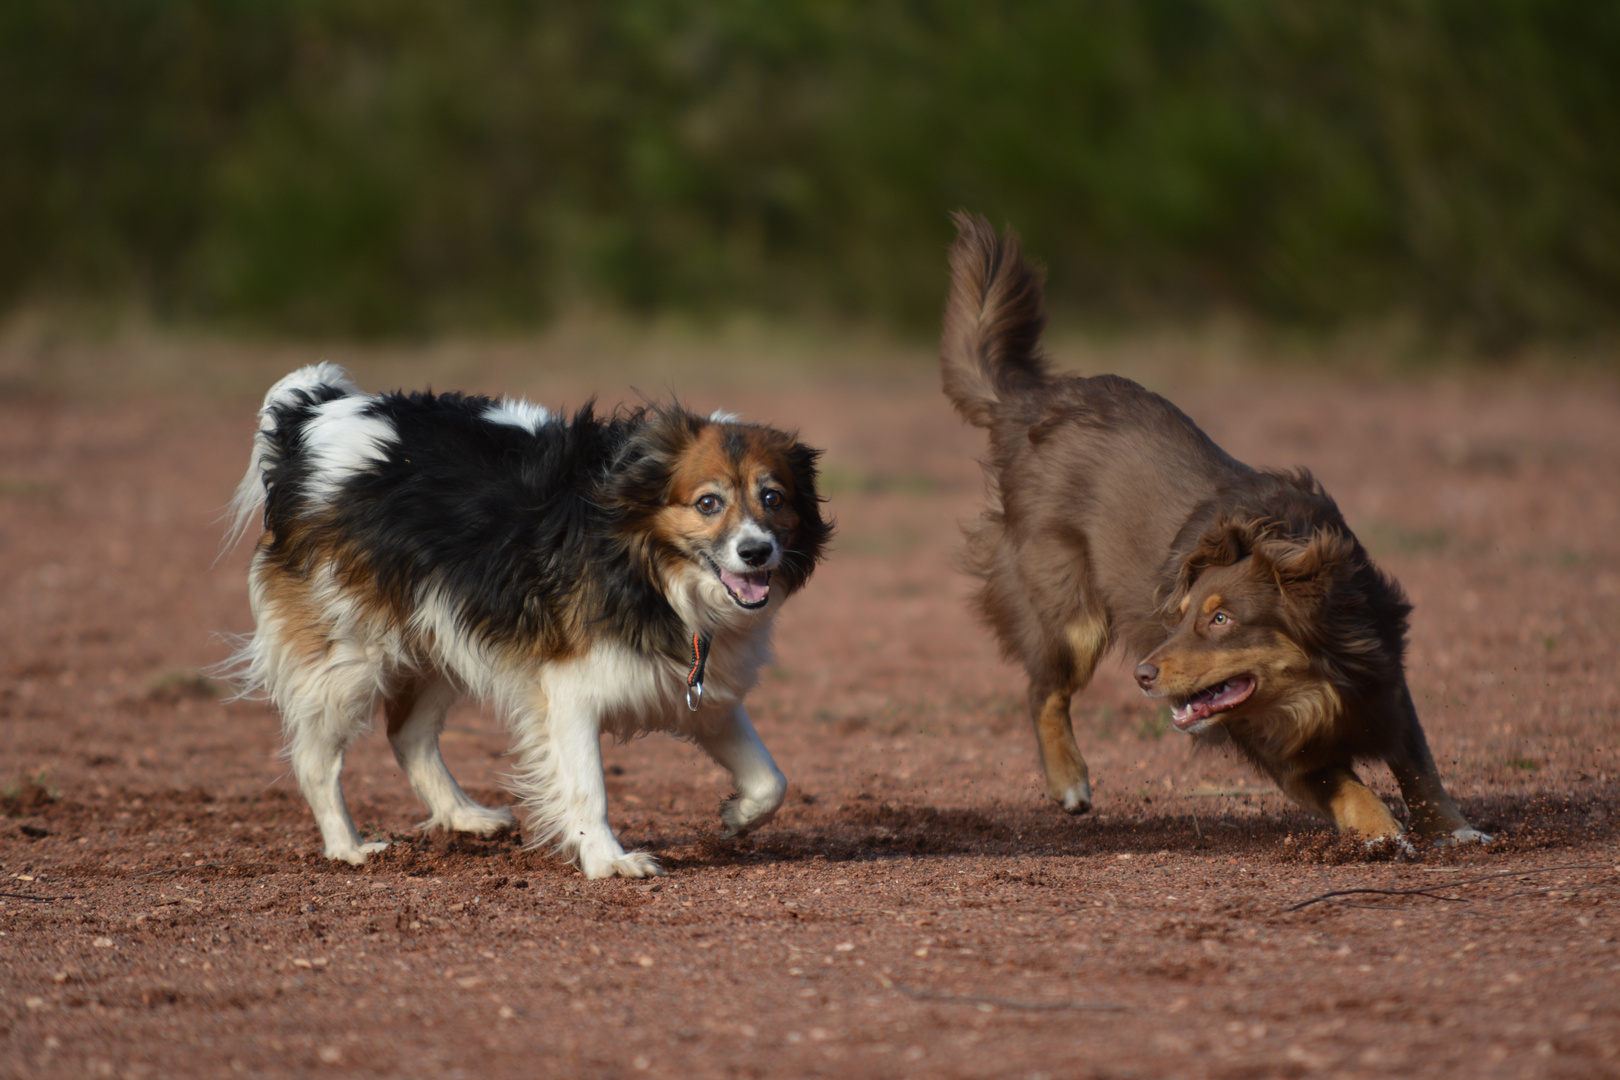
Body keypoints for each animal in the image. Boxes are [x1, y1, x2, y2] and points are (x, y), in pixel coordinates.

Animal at [221, 365, 829, 880]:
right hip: (349, 655)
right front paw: (608, 861)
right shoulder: (571, 689)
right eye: (708, 503)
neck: (647, 563)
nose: (756, 551)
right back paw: (347, 847)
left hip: (442, 630)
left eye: (773, 498)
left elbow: (772, 779)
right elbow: (588, 788)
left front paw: (739, 817)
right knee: (317, 759)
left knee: (408, 734)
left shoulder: (697, 687)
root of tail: (311, 416)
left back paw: (464, 816)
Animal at [946, 215, 1483, 848]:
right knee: (1042, 691)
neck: (1321, 685)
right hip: (1068, 613)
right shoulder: (1278, 749)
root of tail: (1025, 402)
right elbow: (1346, 783)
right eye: (1181, 617)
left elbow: (1420, 766)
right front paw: (1381, 832)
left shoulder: (1386, 684)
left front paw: (1455, 829)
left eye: (1221, 620)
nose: (1142, 674)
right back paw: (1069, 780)